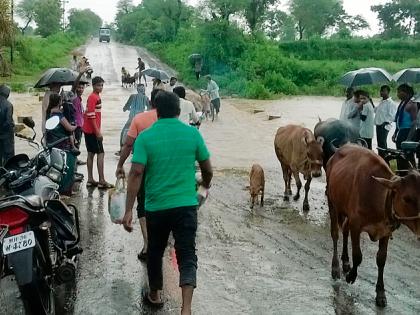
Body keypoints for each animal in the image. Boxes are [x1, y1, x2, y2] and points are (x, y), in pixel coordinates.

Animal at [326, 146, 420, 308]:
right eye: (407, 198)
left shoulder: (385, 231)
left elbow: (381, 259)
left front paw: (380, 293)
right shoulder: (356, 224)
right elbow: (358, 256)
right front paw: (351, 276)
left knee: (344, 230)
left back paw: (345, 261)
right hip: (332, 203)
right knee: (335, 234)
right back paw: (336, 267)